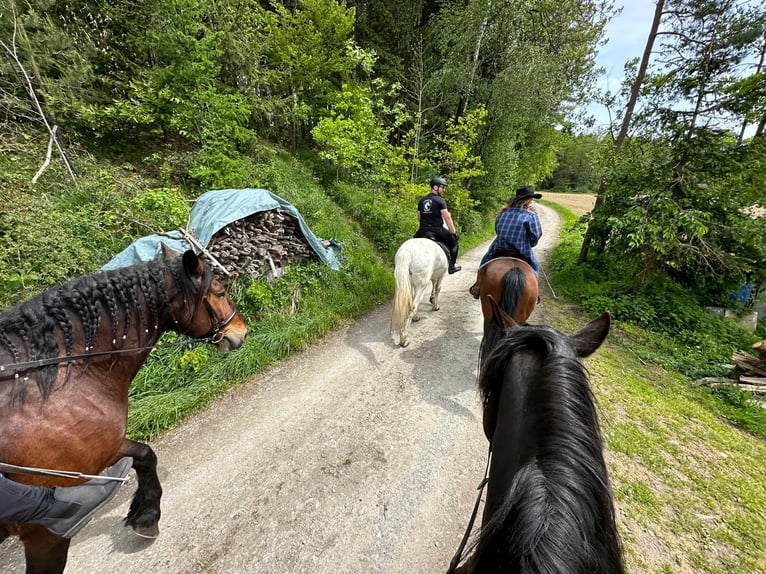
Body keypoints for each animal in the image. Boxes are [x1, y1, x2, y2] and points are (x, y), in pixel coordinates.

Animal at [0, 248, 246, 574]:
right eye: (219, 292)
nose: (241, 332)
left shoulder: (105, 447)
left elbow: (144, 455)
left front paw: (144, 515)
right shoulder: (42, 531)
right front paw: (147, 515)